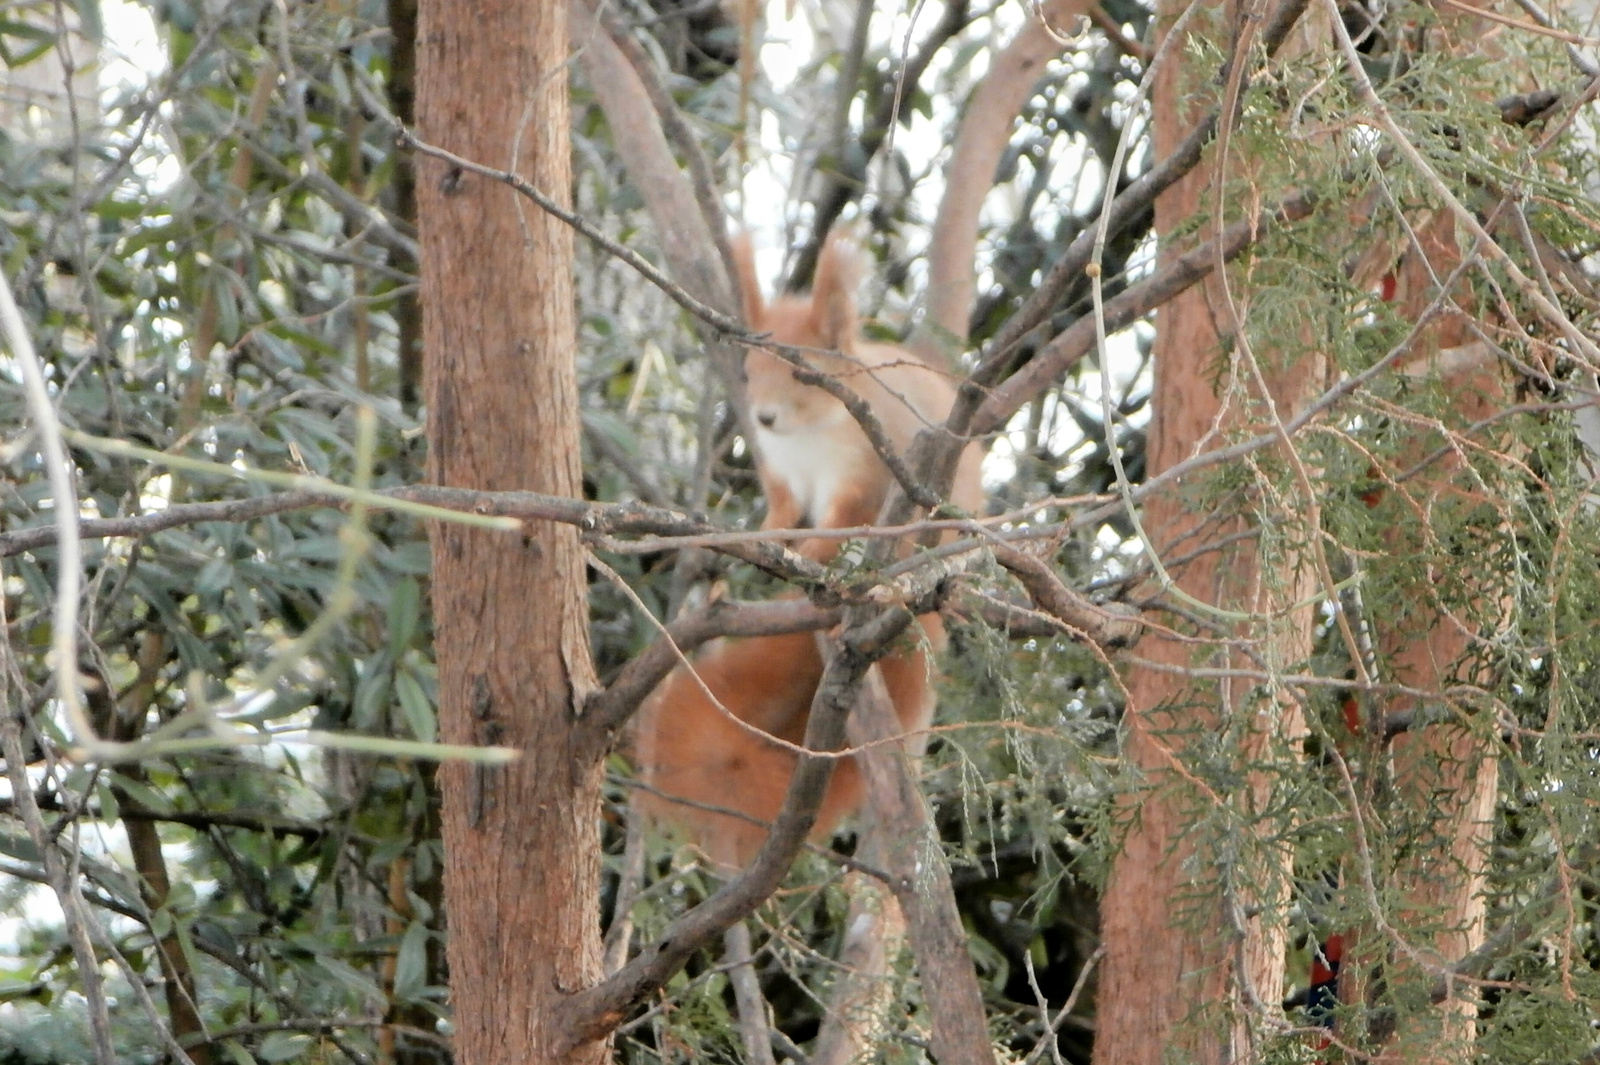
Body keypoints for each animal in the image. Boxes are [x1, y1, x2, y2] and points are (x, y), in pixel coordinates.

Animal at [630, 231, 979, 863]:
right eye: (746, 374)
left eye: (805, 377)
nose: (763, 418)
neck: (809, 436)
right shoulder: (784, 476)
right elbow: (782, 513)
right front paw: (753, 537)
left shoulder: (856, 476)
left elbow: (838, 524)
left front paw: (814, 555)